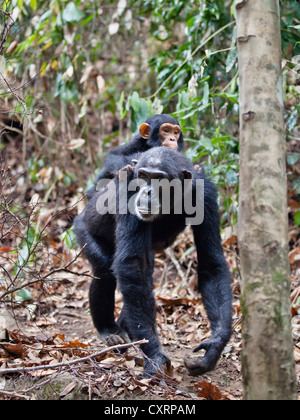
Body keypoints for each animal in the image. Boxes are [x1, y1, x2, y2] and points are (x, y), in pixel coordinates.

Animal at [74, 148, 232, 378]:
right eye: (143, 176)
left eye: (158, 179)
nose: (147, 192)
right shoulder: (128, 188)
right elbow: (133, 264)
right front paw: (154, 355)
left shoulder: (207, 196)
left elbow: (211, 263)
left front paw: (213, 347)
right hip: (82, 231)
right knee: (105, 271)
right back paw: (109, 330)